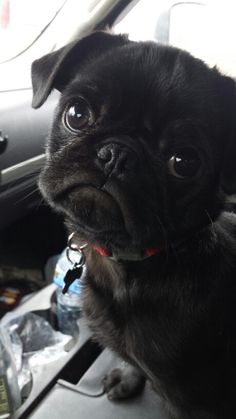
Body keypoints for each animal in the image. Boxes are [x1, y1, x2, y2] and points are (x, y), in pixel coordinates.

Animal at [32, 31, 236, 418]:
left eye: (184, 163)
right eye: (77, 114)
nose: (118, 154)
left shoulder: (192, 398)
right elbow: (128, 360)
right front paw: (127, 378)